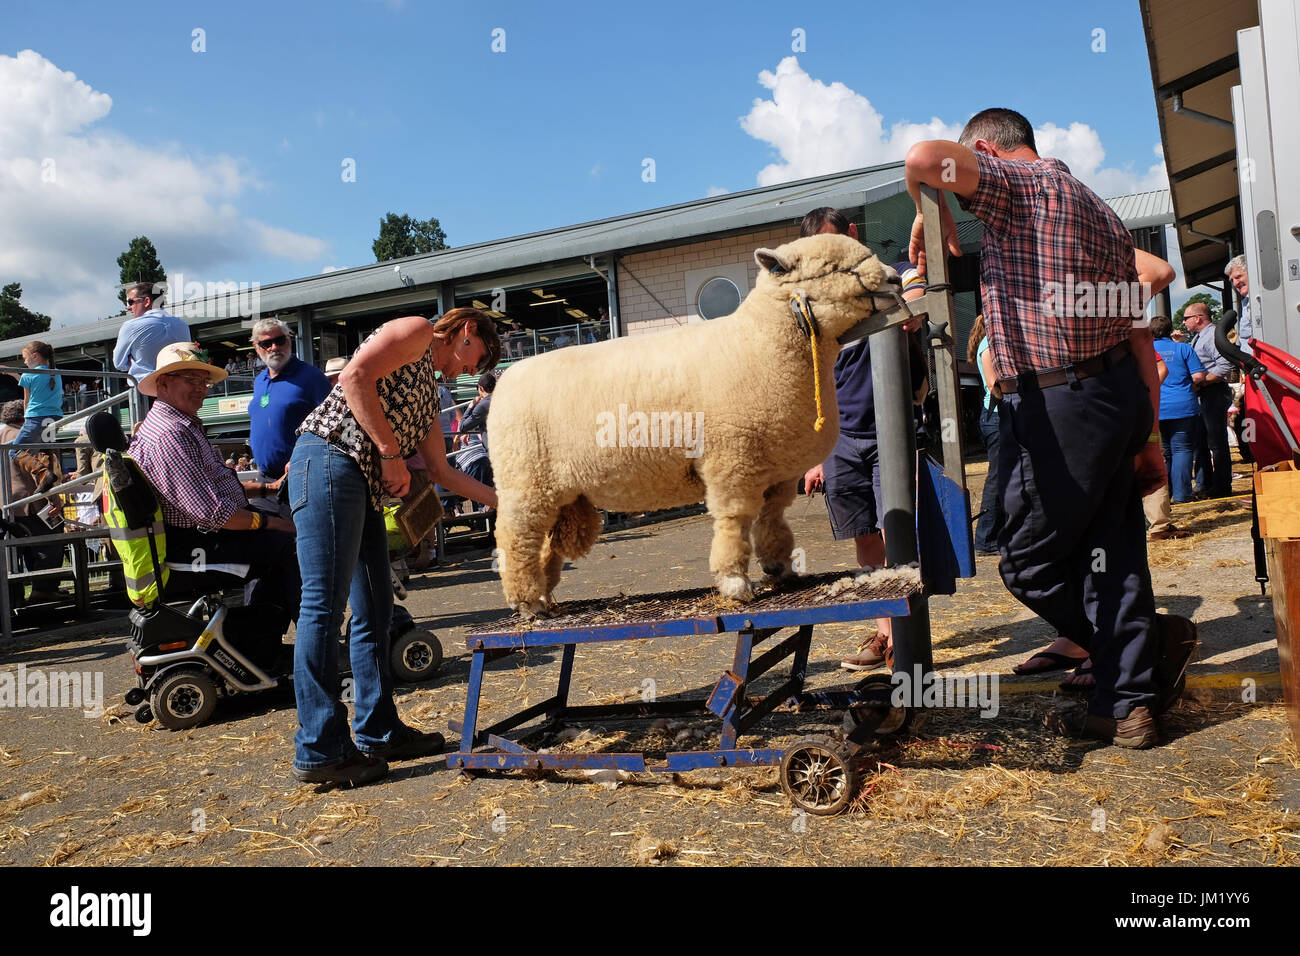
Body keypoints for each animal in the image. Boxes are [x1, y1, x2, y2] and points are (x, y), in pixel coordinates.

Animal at [483, 232, 899, 621]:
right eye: (832, 269)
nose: (895, 278)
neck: (760, 344)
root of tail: (506, 379)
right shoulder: (732, 462)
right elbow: (735, 521)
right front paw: (735, 582)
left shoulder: (778, 473)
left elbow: (772, 520)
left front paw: (779, 568)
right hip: (524, 481)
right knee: (516, 537)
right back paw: (526, 603)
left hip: (562, 494)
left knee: (546, 545)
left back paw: (546, 599)